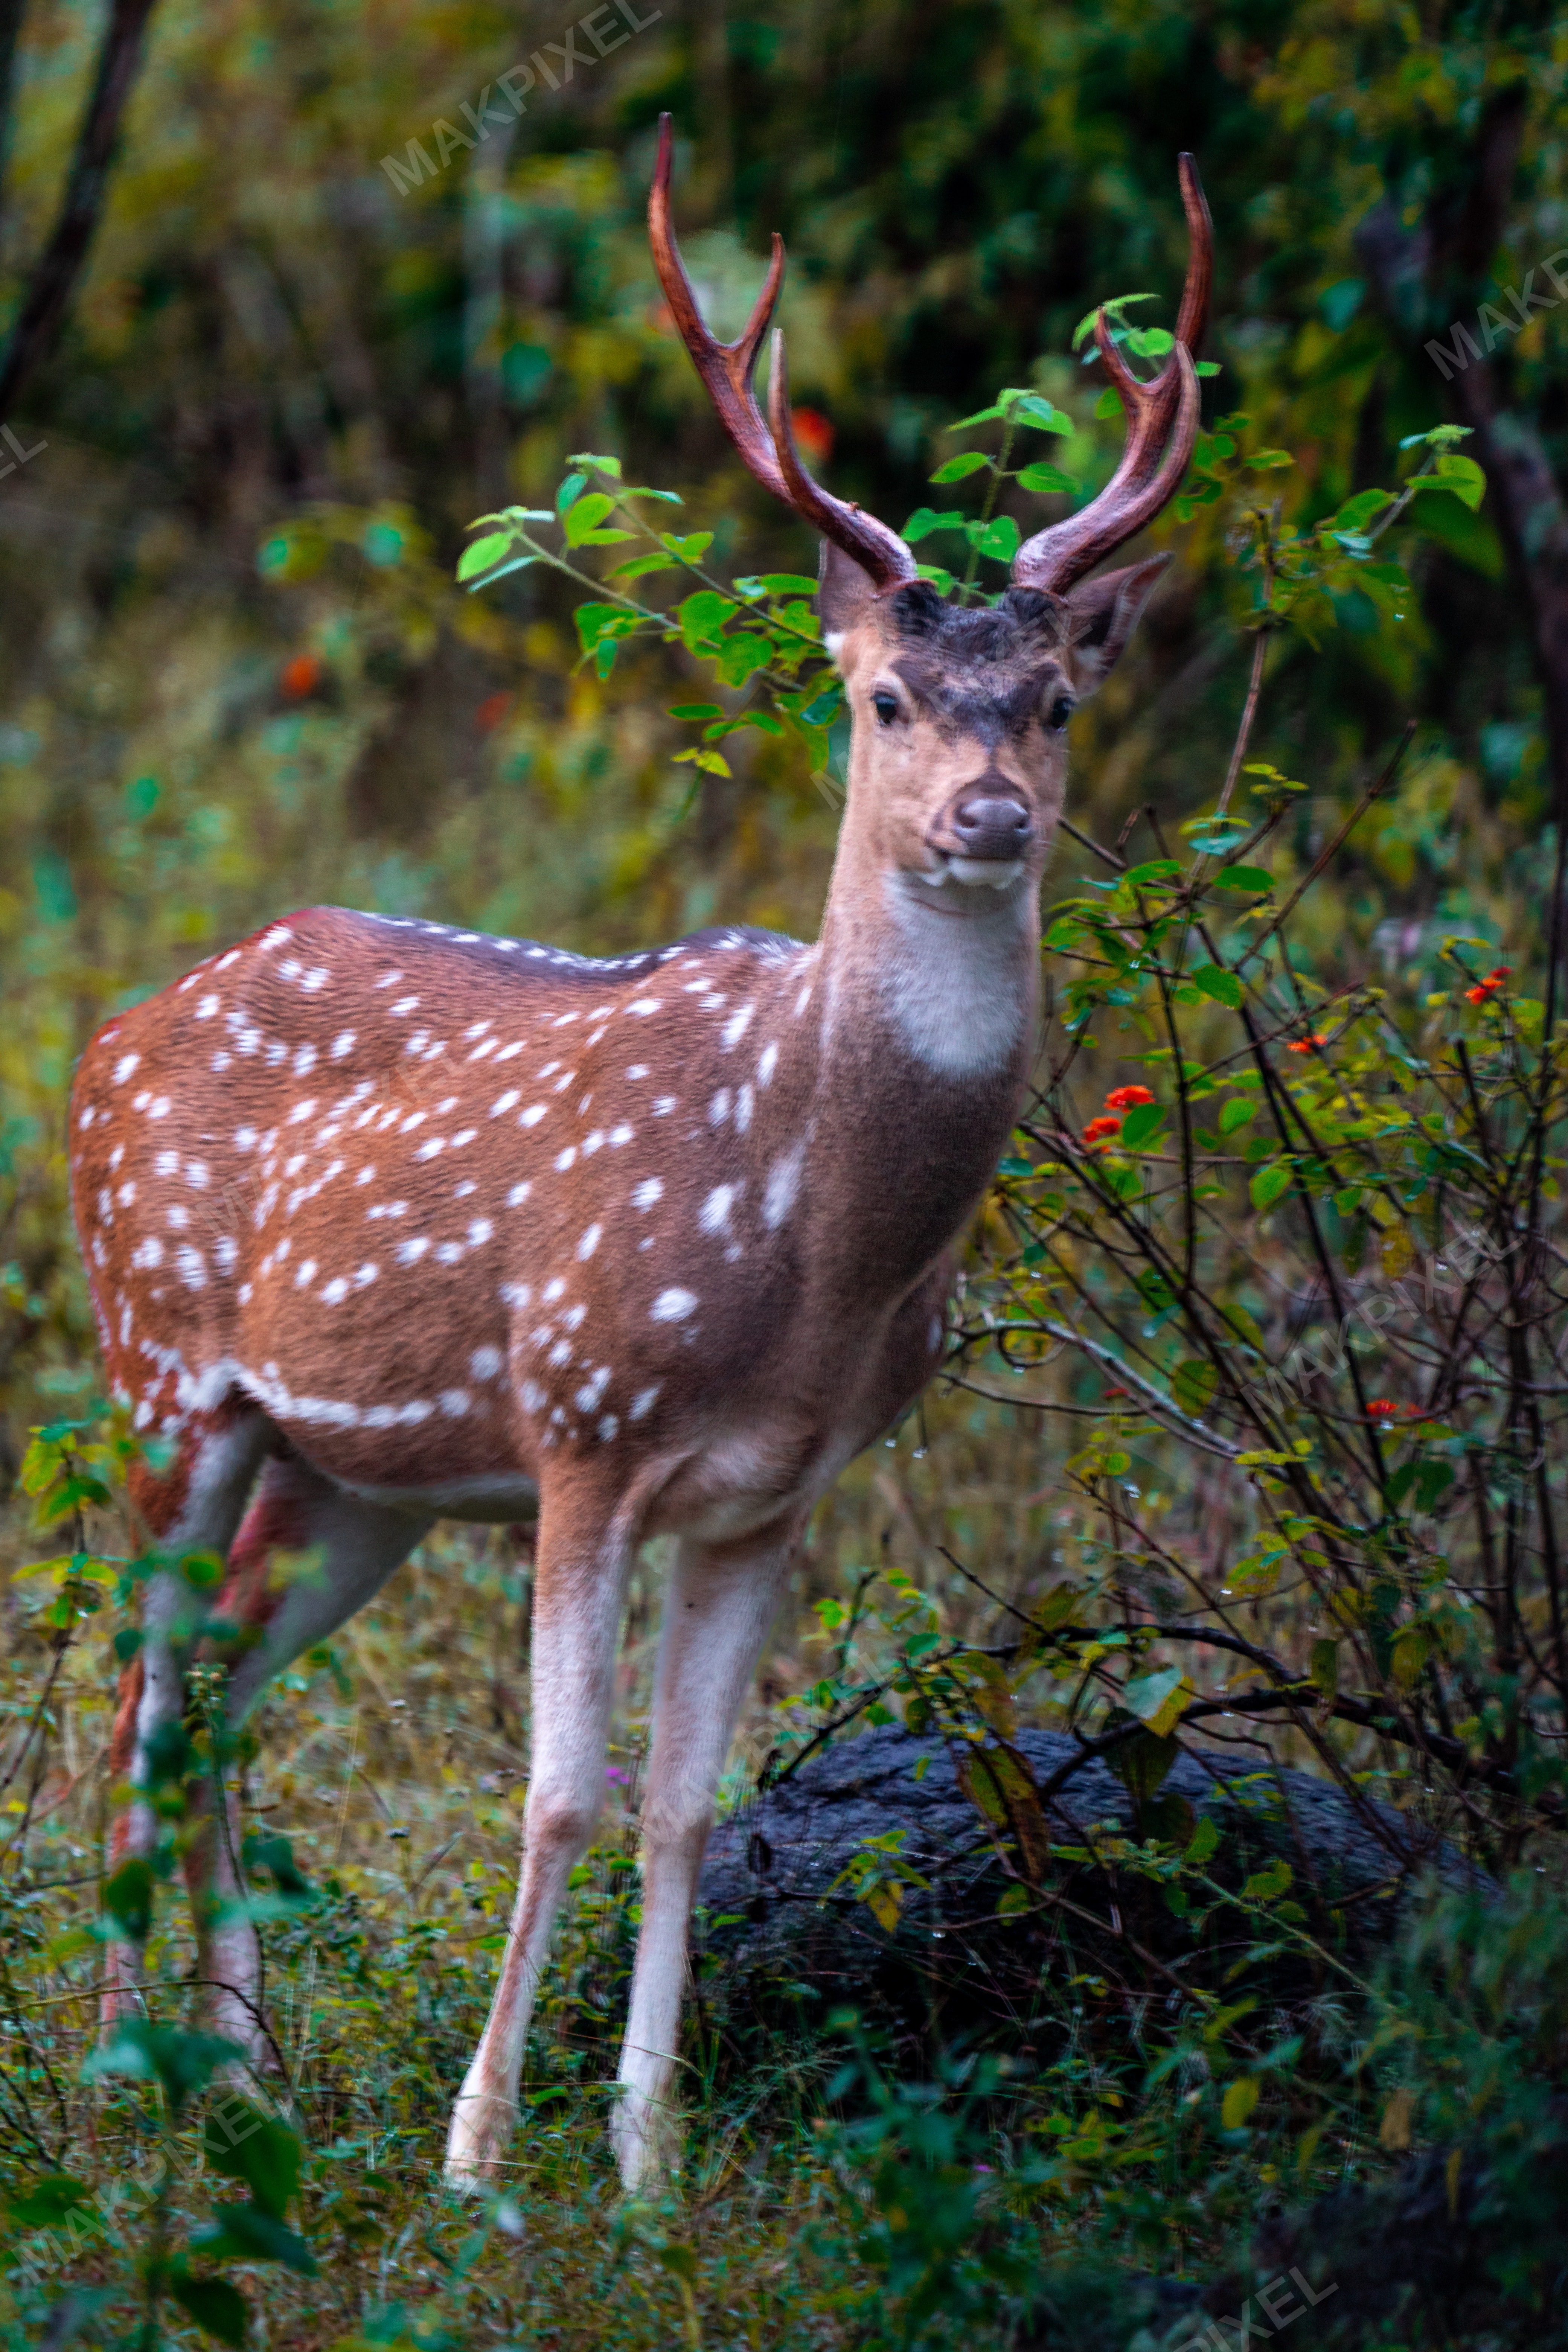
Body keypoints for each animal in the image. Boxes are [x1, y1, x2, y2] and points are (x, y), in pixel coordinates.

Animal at [70, 117, 1210, 2190]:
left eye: (1056, 702)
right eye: (881, 695)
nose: (990, 815)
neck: (811, 1248)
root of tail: (104, 1035)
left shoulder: (773, 1493)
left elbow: (682, 1803)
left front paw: (646, 2164)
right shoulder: (581, 1423)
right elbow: (553, 1796)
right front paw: (476, 2161)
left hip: (345, 1469)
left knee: (226, 1691)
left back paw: (248, 2082)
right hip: (160, 1371)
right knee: (145, 1679)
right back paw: (127, 2087)